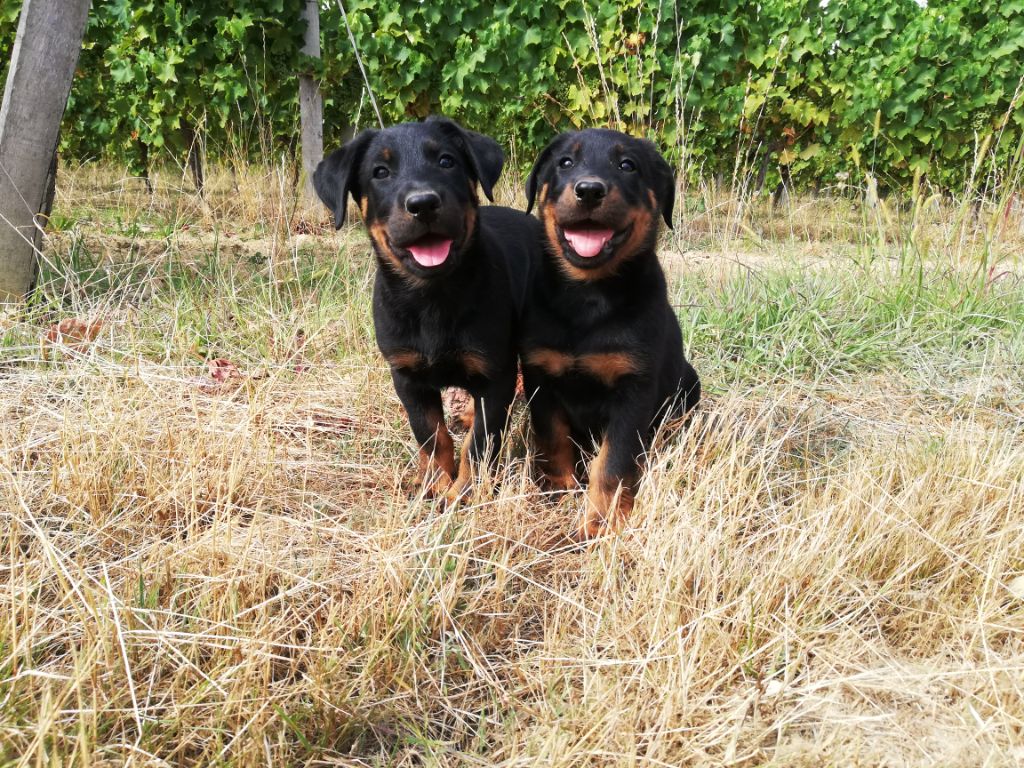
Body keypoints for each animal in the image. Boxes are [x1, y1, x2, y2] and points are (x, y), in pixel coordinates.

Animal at [313, 117, 544, 505]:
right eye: (380, 172)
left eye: (447, 161)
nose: (422, 204)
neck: (432, 297)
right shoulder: (407, 376)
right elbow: (432, 436)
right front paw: (435, 483)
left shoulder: (495, 374)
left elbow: (480, 442)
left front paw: (465, 491)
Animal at [524, 126, 700, 540]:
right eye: (565, 162)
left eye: (627, 165)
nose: (589, 190)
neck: (588, 297)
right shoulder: (541, 376)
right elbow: (552, 439)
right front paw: (559, 491)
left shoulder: (632, 391)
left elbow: (613, 464)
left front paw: (601, 522)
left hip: (688, 382)